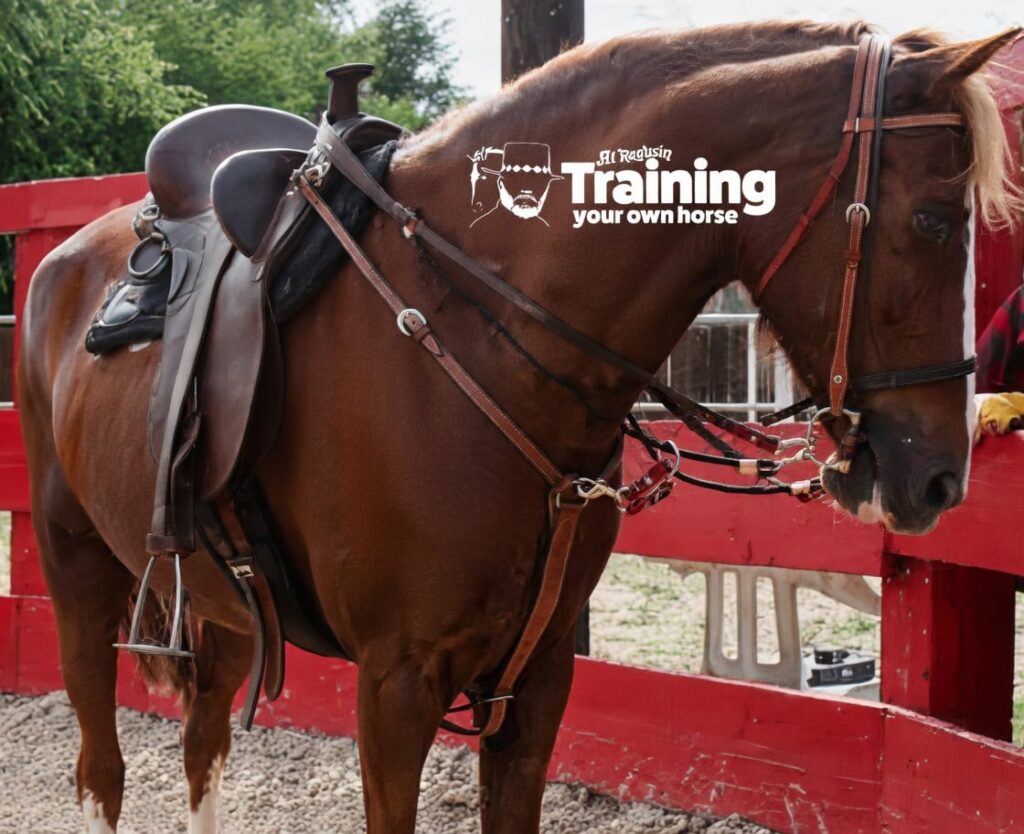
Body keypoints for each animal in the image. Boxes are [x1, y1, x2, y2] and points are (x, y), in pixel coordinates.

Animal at [16, 19, 1020, 834]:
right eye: (936, 220)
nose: (941, 478)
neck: (473, 335)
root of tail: (63, 259)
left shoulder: (534, 684)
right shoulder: (395, 687)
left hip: (217, 603)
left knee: (202, 748)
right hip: (75, 569)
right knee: (102, 769)